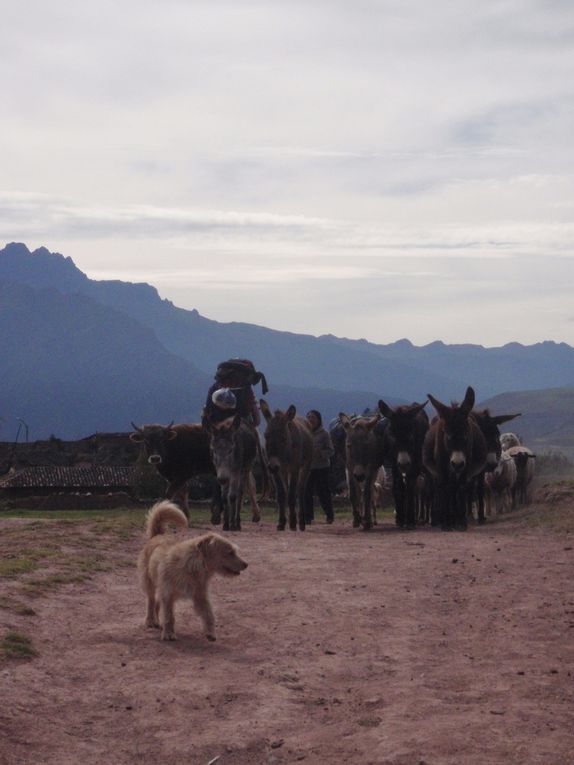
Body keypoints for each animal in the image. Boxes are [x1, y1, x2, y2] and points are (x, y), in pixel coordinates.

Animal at [140, 502, 250, 640]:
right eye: (229, 552)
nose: (246, 564)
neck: (193, 567)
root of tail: (157, 535)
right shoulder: (168, 593)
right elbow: (169, 616)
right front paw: (169, 633)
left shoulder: (200, 595)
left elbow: (208, 614)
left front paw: (210, 632)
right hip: (150, 584)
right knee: (151, 601)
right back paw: (150, 621)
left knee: (157, 603)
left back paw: (157, 621)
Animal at [262, 400, 316, 532]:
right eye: (266, 436)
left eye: (283, 438)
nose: (273, 466)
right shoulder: (276, 472)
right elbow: (281, 494)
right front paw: (281, 522)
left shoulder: (294, 468)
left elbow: (291, 494)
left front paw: (292, 523)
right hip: (284, 471)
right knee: (287, 489)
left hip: (305, 467)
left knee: (300, 490)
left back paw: (301, 523)